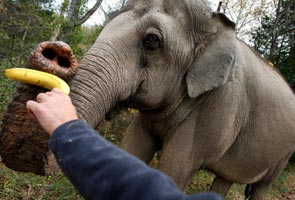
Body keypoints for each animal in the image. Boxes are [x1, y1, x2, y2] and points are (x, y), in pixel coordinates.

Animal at [0, 0, 295, 199]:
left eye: (152, 41)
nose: (56, 52)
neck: (212, 26)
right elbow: (132, 151)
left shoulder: (218, 105)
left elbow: (173, 169)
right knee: (224, 179)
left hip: (284, 154)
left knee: (261, 187)